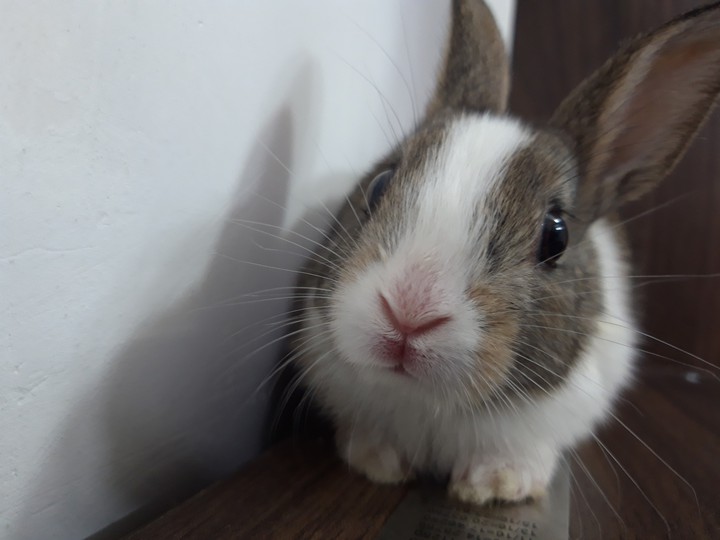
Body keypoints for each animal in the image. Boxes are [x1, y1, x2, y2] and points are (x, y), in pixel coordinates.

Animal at [290, 0, 720, 505]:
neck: (426, 405)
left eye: (555, 237)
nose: (408, 314)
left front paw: (495, 486)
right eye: (379, 184)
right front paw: (375, 463)